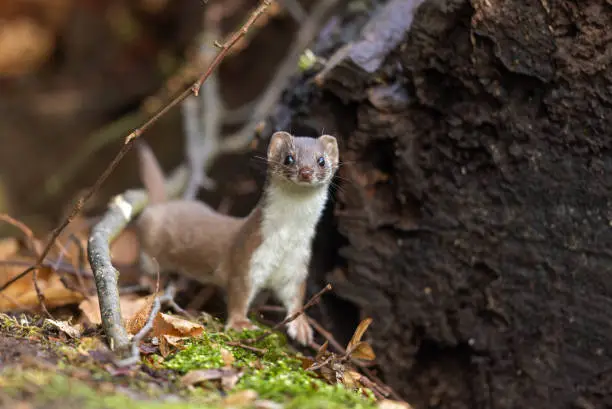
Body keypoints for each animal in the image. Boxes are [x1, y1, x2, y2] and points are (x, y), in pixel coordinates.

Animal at [135, 132, 340, 342]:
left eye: (321, 160)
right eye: (289, 158)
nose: (306, 171)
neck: (285, 239)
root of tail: (162, 205)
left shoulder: (297, 262)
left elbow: (296, 295)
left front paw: (301, 326)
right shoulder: (247, 255)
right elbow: (239, 292)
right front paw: (240, 323)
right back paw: (150, 282)